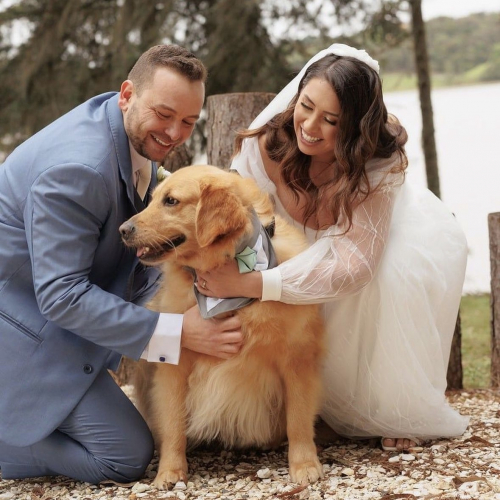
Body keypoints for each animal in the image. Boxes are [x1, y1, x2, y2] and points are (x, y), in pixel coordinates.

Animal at [119, 165, 326, 488]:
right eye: (152, 200)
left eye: (171, 201)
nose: (123, 230)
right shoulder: (175, 366)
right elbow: (173, 422)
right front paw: (170, 471)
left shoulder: (298, 359)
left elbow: (299, 419)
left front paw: (304, 464)